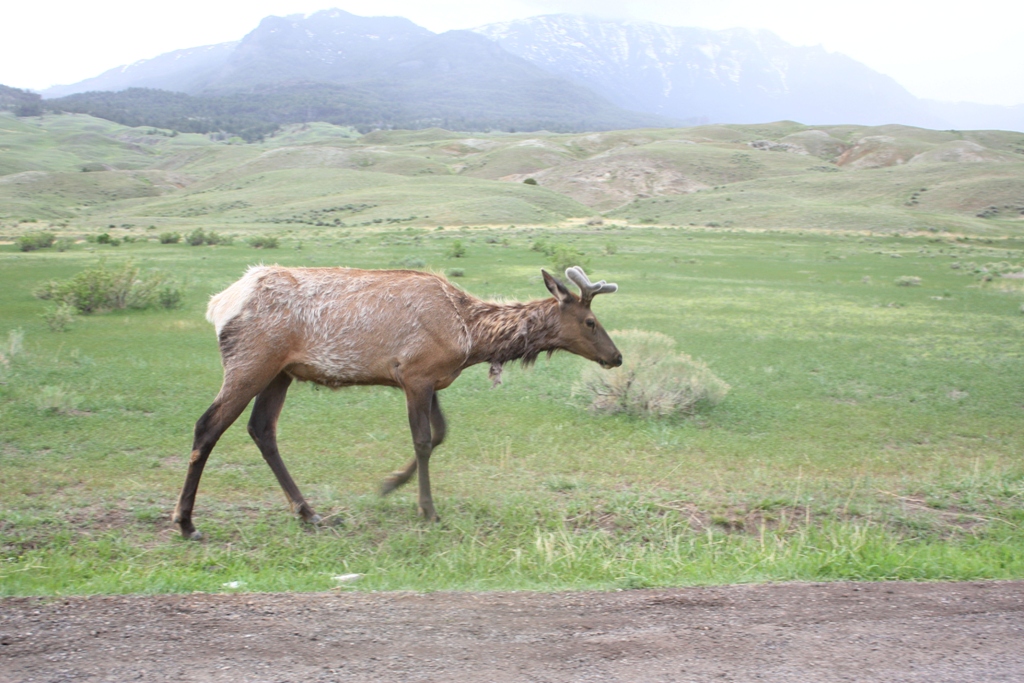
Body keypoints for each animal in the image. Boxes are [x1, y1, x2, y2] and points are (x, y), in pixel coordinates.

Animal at [173, 264, 618, 536]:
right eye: (590, 322)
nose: (616, 357)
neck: (470, 337)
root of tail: (218, 304)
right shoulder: (415, 374)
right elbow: (423, 440)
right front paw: (427, 509)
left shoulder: (428, 380)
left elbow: (440, 434)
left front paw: (389, 484)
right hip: (251, 362)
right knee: (207, 426)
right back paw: (186, 523)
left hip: (281, 372)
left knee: (262, 429)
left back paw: (308, 511)